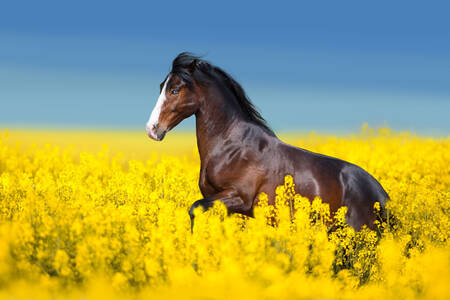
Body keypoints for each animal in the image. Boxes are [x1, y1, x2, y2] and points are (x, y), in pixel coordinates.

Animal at [146, 52, 388, 230]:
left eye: (175, 90)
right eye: (161, 87)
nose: (152, 129)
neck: (231, 147)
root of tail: (381, 194)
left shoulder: (238, 198)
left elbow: (194, 209)